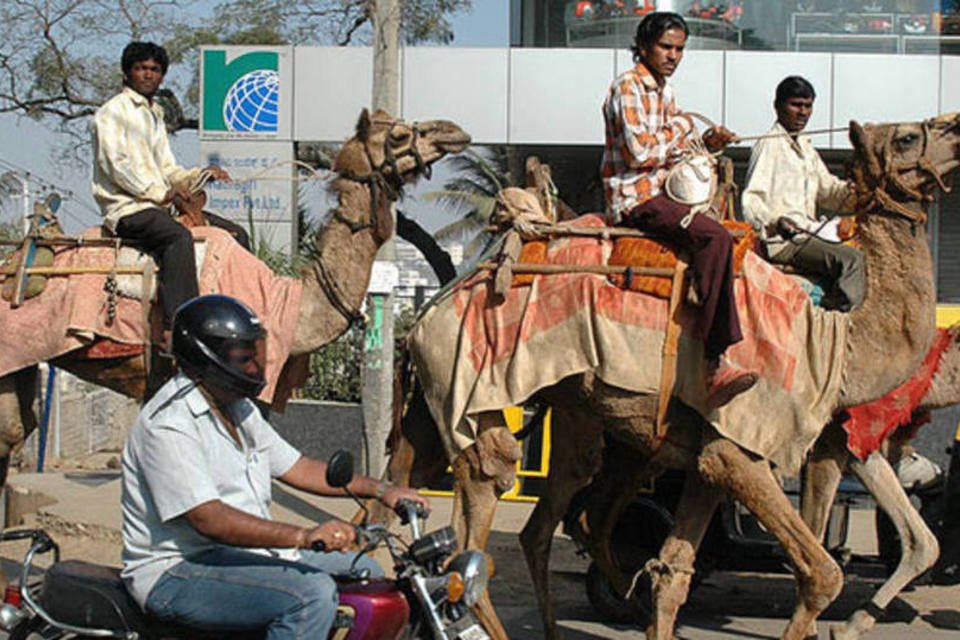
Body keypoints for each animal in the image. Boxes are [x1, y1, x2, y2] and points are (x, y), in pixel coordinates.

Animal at [384, 111, 960, 640]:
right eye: (908, 136)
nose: (955, 126)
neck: (834, 344)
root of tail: (426, 315)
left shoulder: (713, 455)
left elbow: (674, 573)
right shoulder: (752, 444)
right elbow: (822, 572)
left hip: (505, 409)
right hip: (470, 391)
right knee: (474, 529)